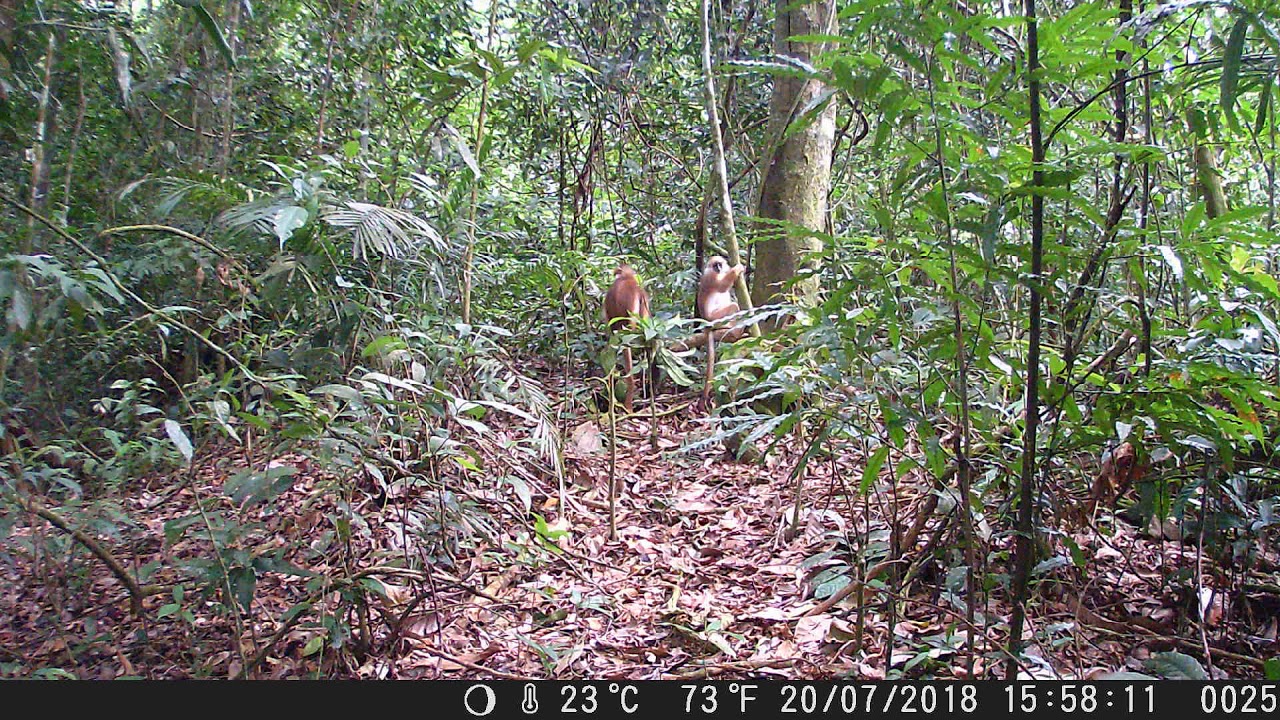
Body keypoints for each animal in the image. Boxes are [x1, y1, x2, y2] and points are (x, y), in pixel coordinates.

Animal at [696, 255, 745, 405]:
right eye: (715, 265)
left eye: (720, 264)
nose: (718, 268)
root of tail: (706, 322)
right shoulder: (710, 276)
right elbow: (722, 286)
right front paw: (738, 268)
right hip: (716, 318)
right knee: (733, 306)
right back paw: (735, 331)